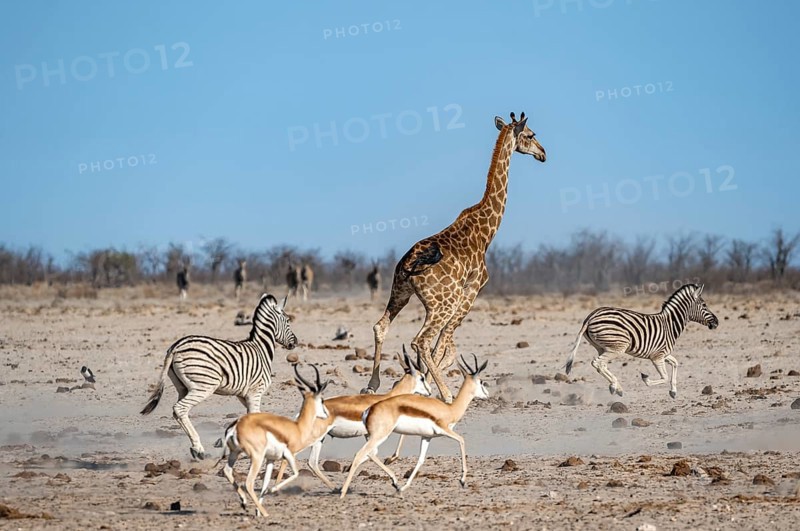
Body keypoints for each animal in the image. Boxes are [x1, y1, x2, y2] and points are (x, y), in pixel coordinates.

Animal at [140, 293, 297, 459]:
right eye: (288, 320)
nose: (296, 342)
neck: (261, 349)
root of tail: (175, 346)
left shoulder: (244, 395)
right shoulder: (256, 391)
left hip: (183, 387)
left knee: (178, 412)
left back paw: (195, 447)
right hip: (203, 386)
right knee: (180, 408)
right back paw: (198, 449)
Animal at [363, 112, 546, 402]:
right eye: (530, 134)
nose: (543, 153)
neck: (487, 230)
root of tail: (410, 263)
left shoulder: (460, 295)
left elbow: (446, 345)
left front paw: (423, 381)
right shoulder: (472, 290)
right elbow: (445, 345)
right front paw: (432, 386)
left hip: (400, 291)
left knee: (382, 326)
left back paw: (372, 385)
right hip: (442, 303)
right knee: (422, 340)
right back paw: (446, 393)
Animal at [564, 283, 718, 399]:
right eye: (704, 305)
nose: (717, 322)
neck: (670, 325)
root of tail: (592, 315)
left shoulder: (664, 354)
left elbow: (675, 363)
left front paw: (673, 391)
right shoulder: (657, 356)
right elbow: (664, 376)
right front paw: (646, 378)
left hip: (603, 347)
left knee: (601, 365)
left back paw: (617, 387)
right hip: (617, 347)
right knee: (597, 363)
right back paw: (615, 386)